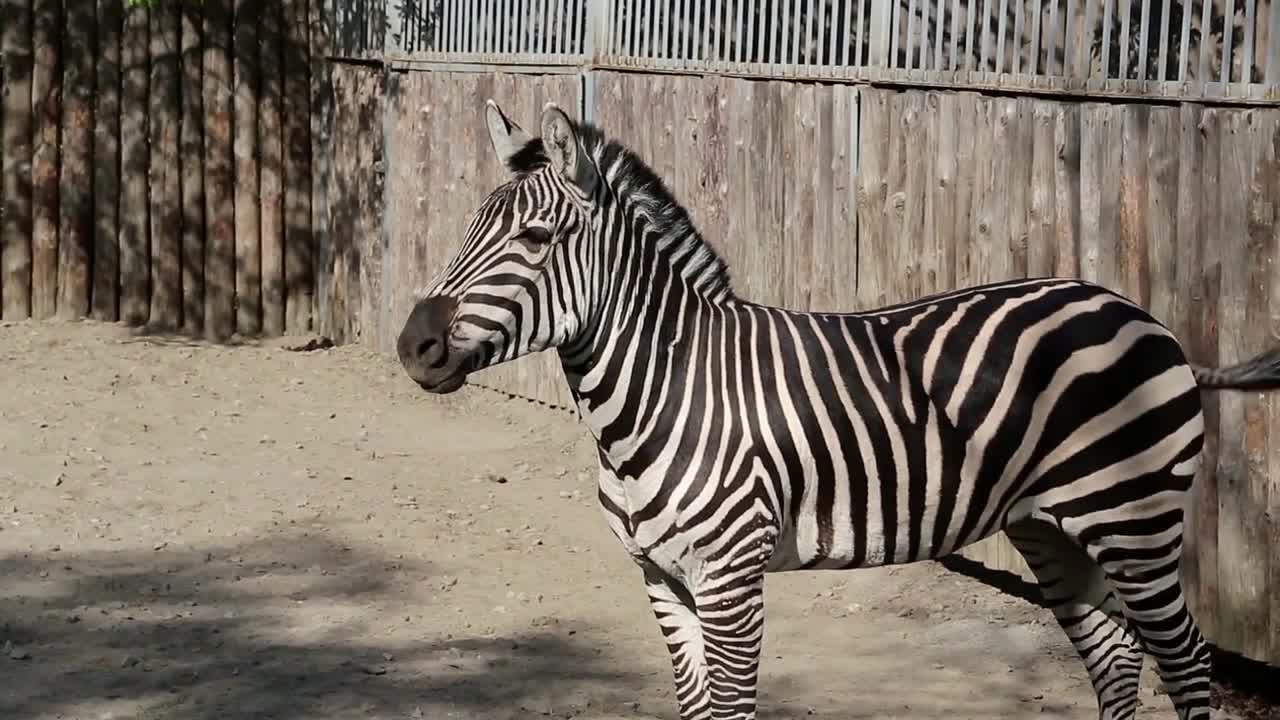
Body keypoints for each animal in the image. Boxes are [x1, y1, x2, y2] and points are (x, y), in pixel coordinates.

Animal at [396, 99, 1280, 717]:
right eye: (471, 226)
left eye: (536, 238)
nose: (413, 345)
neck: (657, 398)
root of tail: (1139, 313)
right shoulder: (660, 578)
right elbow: (695, 707)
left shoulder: (730, 579)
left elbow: (733, 709)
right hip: (1052, 528)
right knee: (1116, 660)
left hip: (1137, 522)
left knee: (1188, 661)